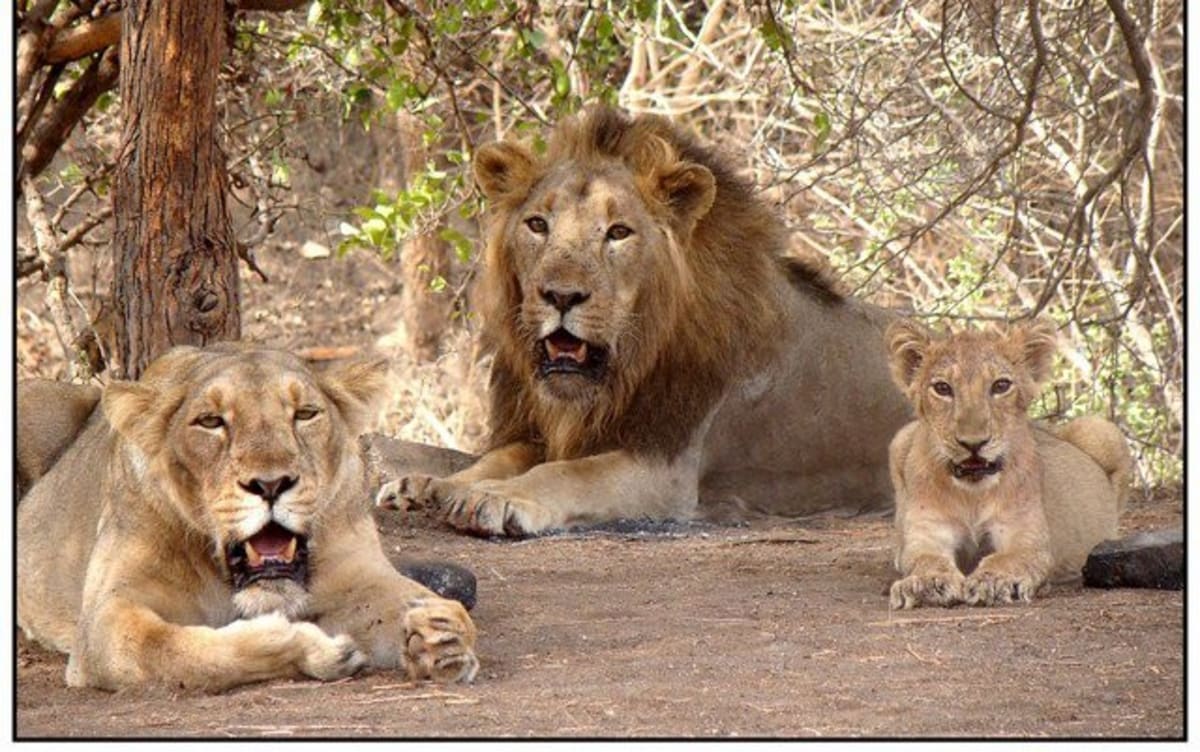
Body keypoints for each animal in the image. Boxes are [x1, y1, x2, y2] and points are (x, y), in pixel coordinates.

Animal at [17, 343, 478, 691]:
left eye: (305, 414)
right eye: (210, 421)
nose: (271, 484)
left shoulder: (357, 574)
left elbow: (423, 604)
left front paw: (441, 634)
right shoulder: (104, 617)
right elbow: (176, 653)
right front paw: (310, 648)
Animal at [384, 105, 912, 536]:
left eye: (618, 233)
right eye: (537, 225)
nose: (560, 295)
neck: (626, 369)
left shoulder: (668, 469)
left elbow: (570, 473)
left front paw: (494, 498)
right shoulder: (549, 430)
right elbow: (499, 456)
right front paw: (430, 484)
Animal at [885, 318, 1131, 609]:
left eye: (1001, 386)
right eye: (943, 388)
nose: (973, 443)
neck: (972, 495)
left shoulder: (1027, 538)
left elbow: (1007, 558)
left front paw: (995, 581)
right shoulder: (927, 534)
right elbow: (925, 559)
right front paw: (926, 583)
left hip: (1102, 429)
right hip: (900, 439)